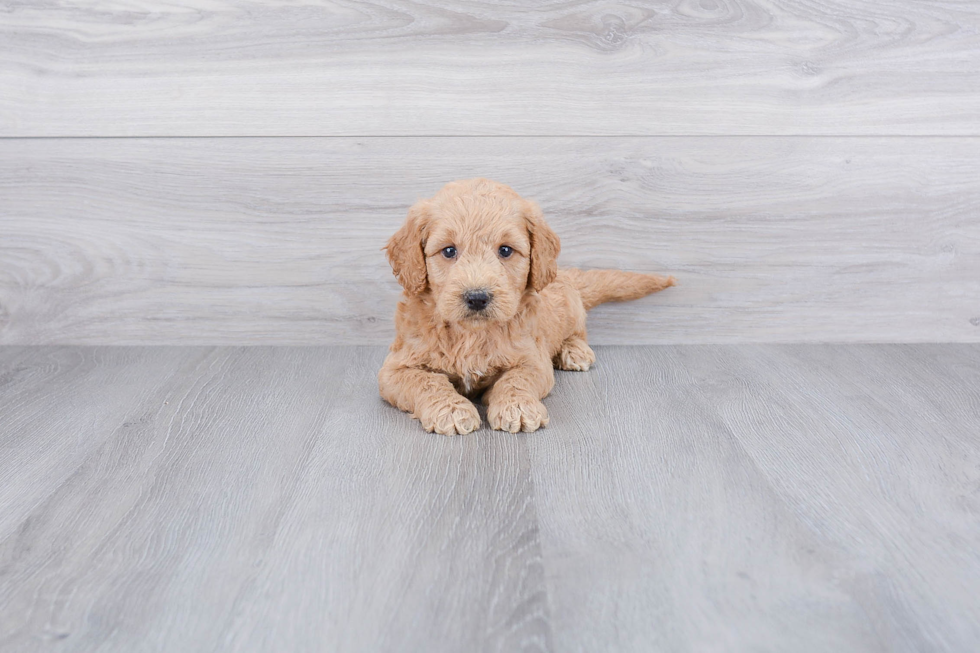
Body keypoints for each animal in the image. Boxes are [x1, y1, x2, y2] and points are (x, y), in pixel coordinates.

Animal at [378, 177, 672, 432]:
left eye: (505, 250)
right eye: (449, 251)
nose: (477, 297)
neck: (472, 334)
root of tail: (565, 274)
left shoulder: (533, 360)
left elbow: (516, 379)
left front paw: (516, 408)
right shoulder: (395, 369)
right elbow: (426, 381)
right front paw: (452, 411)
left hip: (570, 307)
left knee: (578, 330)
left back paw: (575, 351)